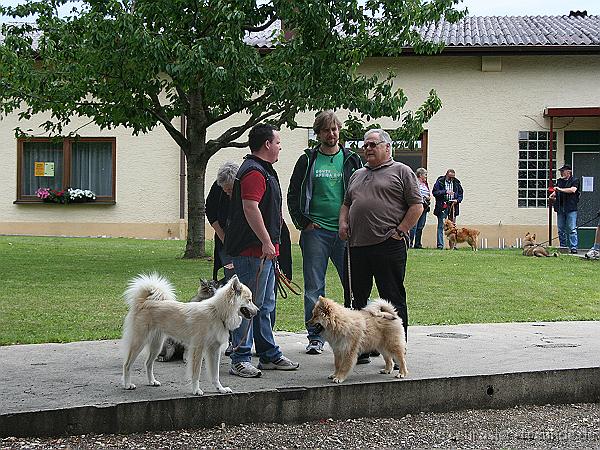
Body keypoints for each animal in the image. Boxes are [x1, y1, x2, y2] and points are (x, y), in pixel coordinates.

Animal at [120, 272, 254, 396]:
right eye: (249, 300)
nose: (257, 311)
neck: (217, 312)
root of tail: (144, 303)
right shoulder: (198, 349)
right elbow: (196, 373)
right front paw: (196, 390)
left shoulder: (214, 350)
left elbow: (215, 374)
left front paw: (220, 389)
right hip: (139, 342)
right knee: (127, 365)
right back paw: (127, 384)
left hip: (156, 345)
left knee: (148, 363)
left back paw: (152, 381)